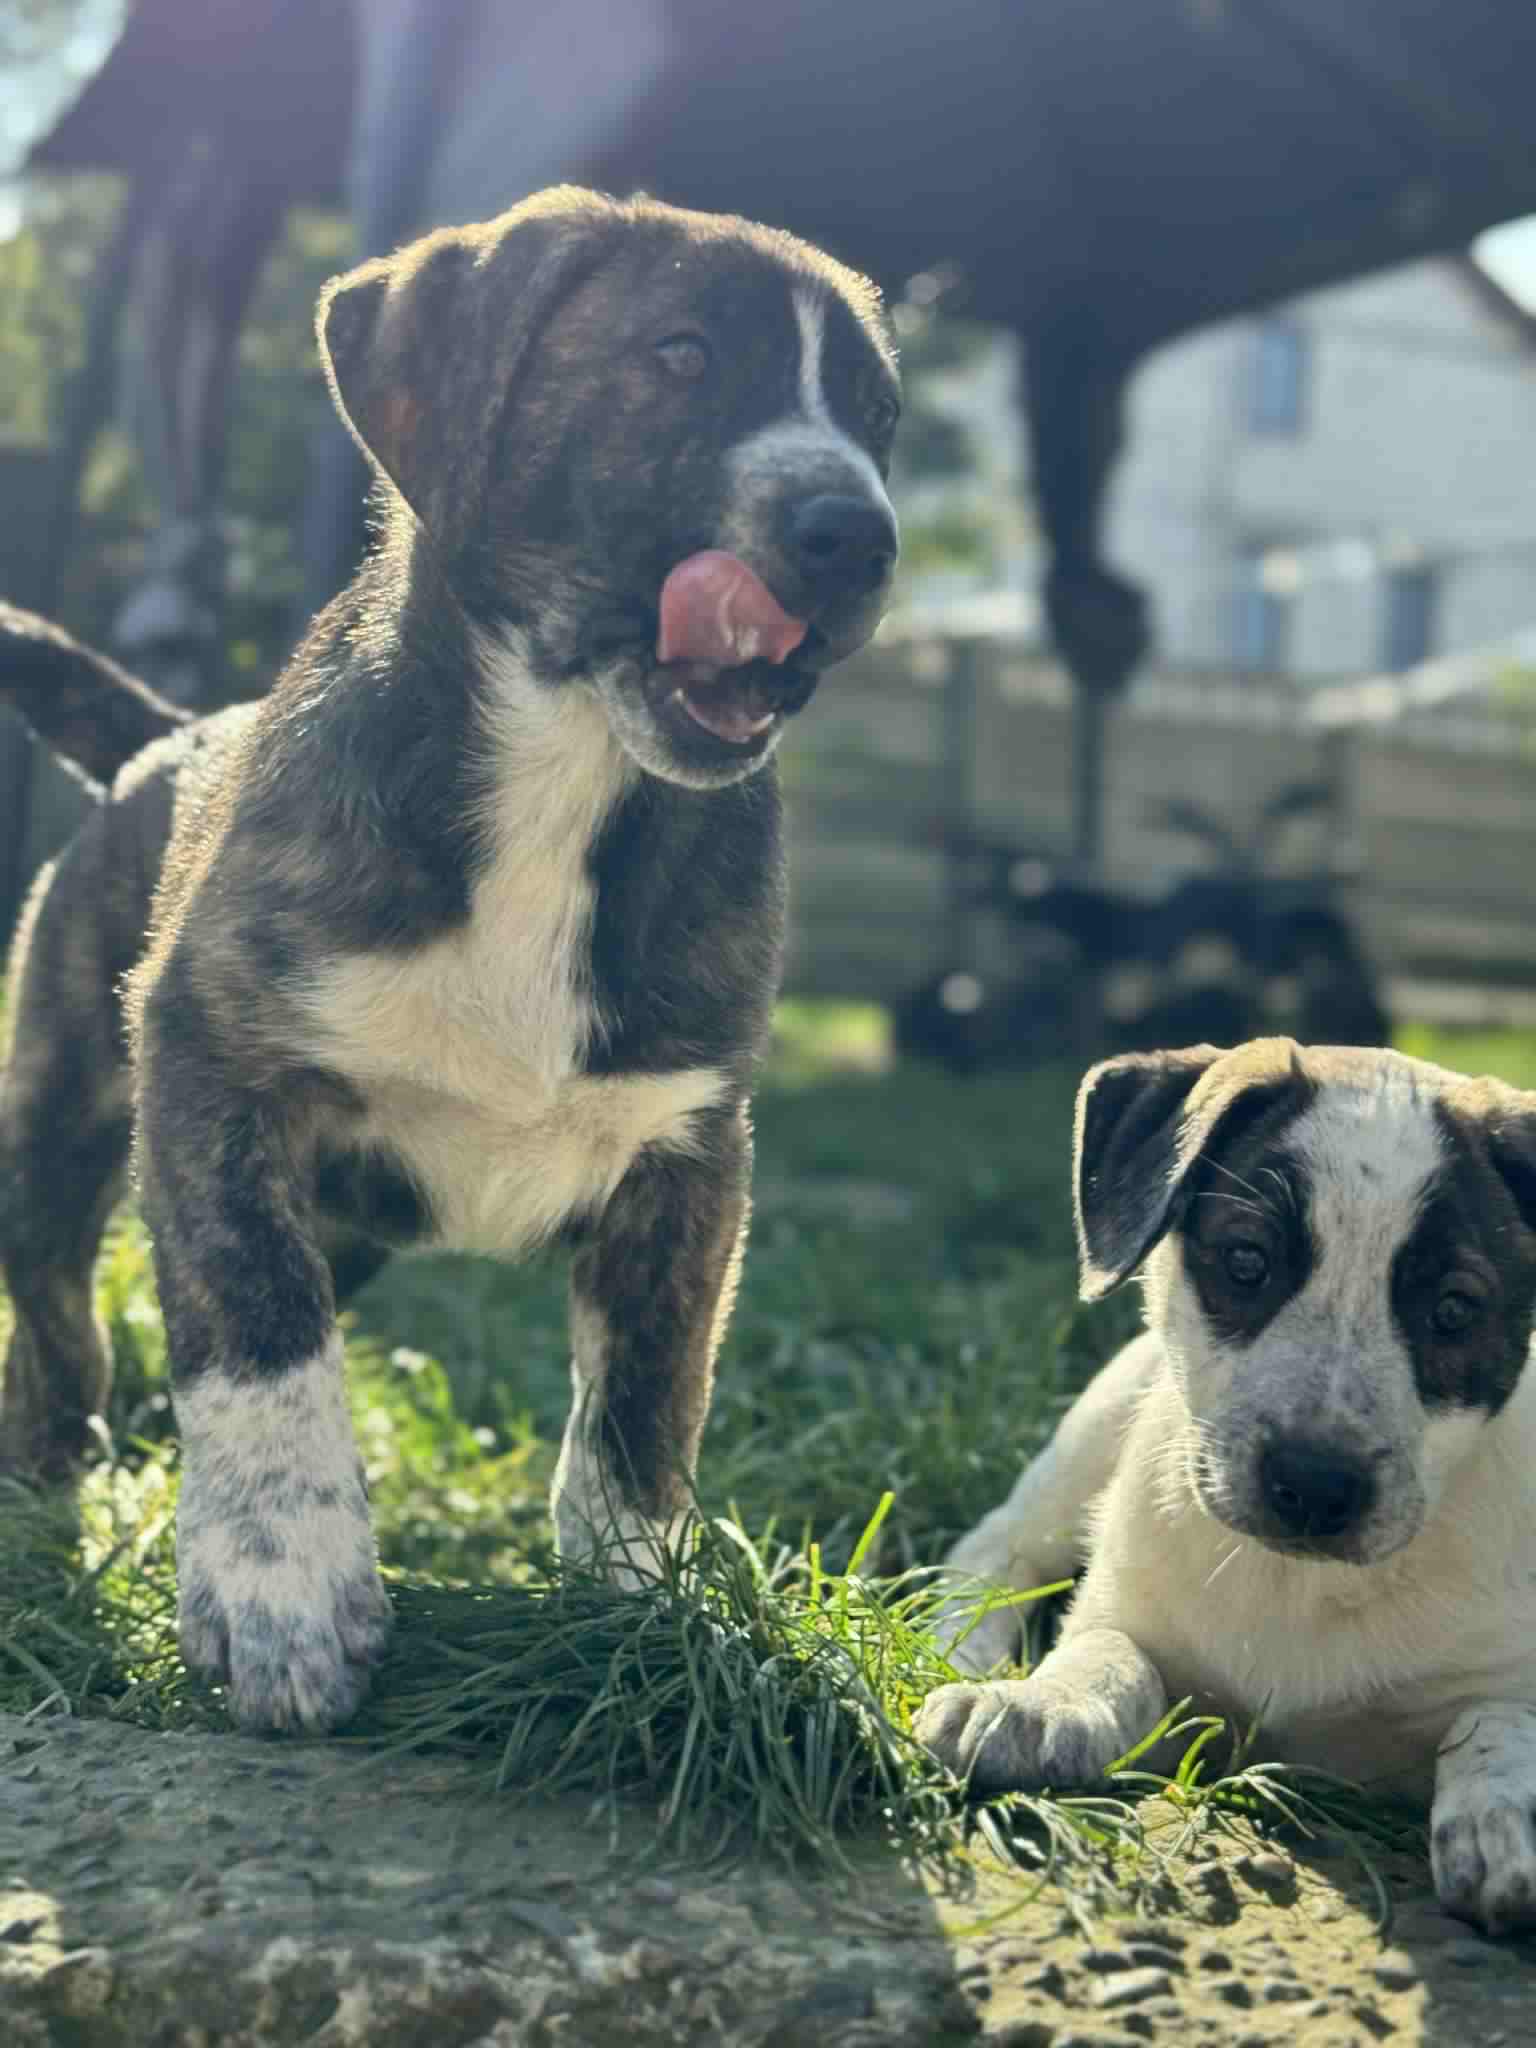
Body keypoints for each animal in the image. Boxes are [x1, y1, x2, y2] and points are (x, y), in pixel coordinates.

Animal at [0, 185, 900, 1735]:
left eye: (878, 414)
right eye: (678, 357)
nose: (862, 534)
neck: (566, 773)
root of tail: (161, 737)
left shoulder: (689, 1151)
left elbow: (645, 1399)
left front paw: (642, 1610)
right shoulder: (215, 1070)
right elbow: (258, 1335)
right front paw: (282, 1589)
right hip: (55, 1122)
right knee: (58, 1310)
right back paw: (48, 1471)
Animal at [918, 1039, 1536, 1935]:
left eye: (1454, 1311)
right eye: (1248, 1261)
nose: (1314, 1486)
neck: (1300, 1585)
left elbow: (1502, 1718)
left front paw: (1501, 1810)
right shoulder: (1137, 1619)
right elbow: (1109, 1652)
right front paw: (1041, 1704)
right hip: (1097, 1427)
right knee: (994, 1548)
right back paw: (960, 1648)